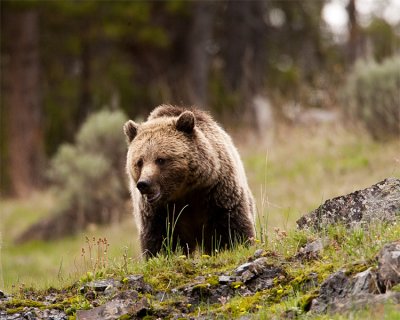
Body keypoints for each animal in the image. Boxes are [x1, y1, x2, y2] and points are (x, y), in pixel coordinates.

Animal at [123, 105, 256, 258]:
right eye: (139, 162)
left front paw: (237, 246)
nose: (144, 184)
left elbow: (230, 226)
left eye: (160, 159)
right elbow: (160, 239)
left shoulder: (217, 191)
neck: (184, 191)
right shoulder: (158, 212)